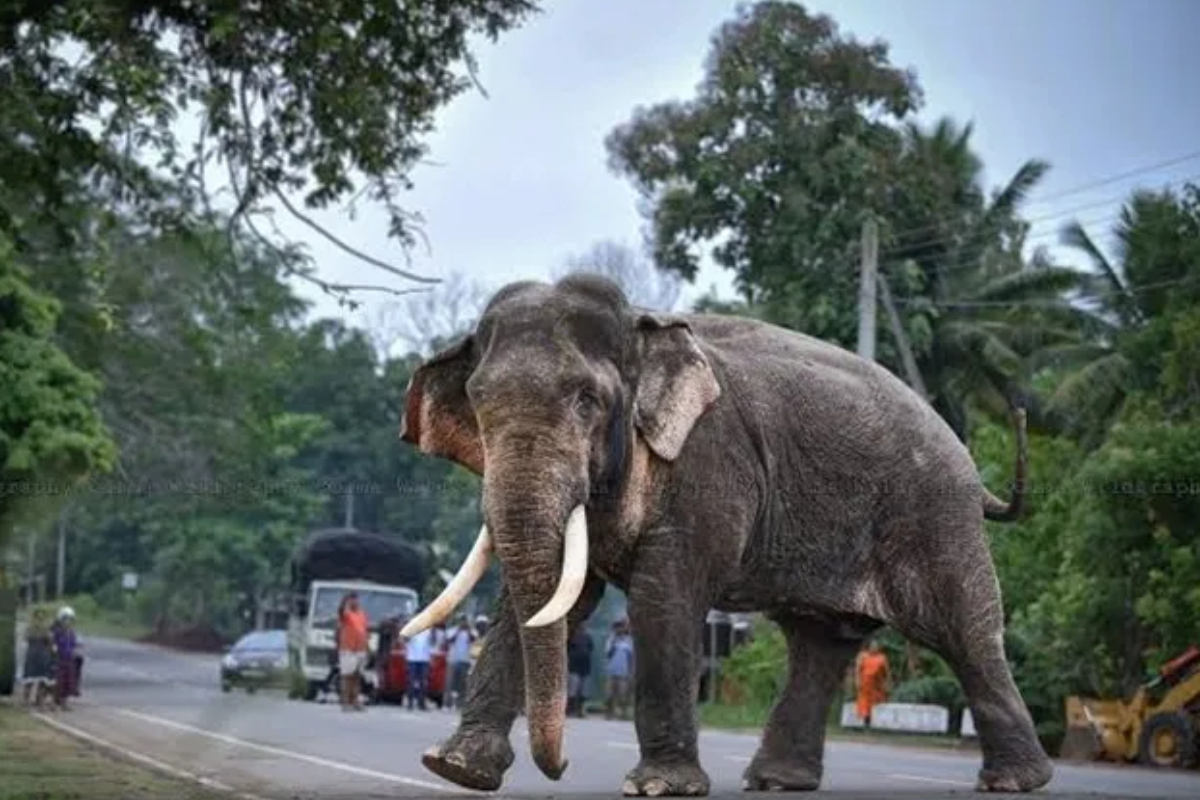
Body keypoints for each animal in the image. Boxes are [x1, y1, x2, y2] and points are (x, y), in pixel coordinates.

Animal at [396, 273, 1053, 796]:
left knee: (963, 632)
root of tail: (975, 473)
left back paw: (1016, 782)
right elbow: (545, 598)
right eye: (478, 403)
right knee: (821, 642)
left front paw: (659, 787)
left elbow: (662, 600)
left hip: (935, 517)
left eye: (588, 400)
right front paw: (455, 769)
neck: (642, 325)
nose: (558, 768)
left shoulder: (708, 468)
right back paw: (777, 781)